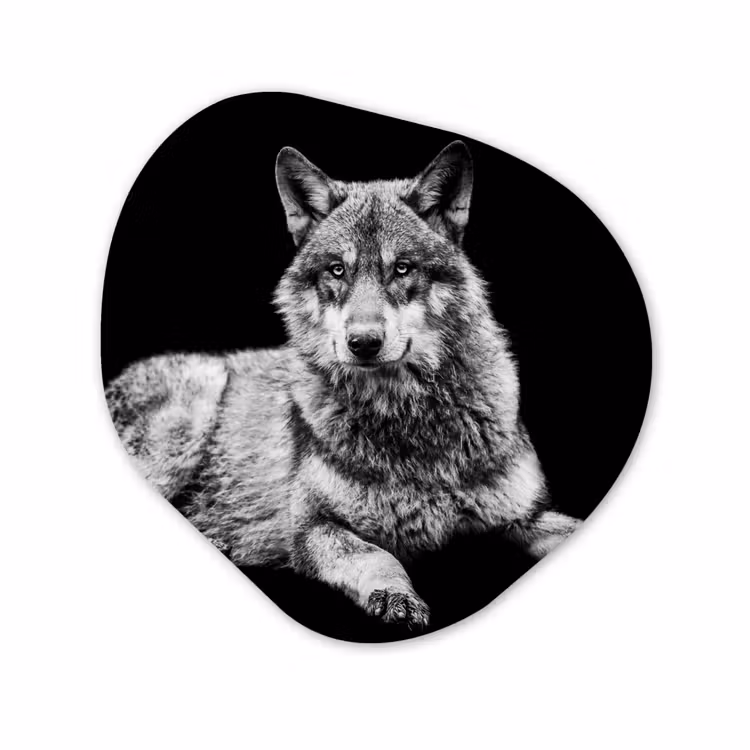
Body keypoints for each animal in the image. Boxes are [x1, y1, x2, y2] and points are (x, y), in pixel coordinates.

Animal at [106, 141, 581, 629]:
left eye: (402, 269)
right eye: (337, 270)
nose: (364, 343)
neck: (407, 419)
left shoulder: (525, 515)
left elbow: (568, 527)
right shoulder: (313, 527)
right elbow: (377, 555)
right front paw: (396, 596)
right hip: (191, 412)